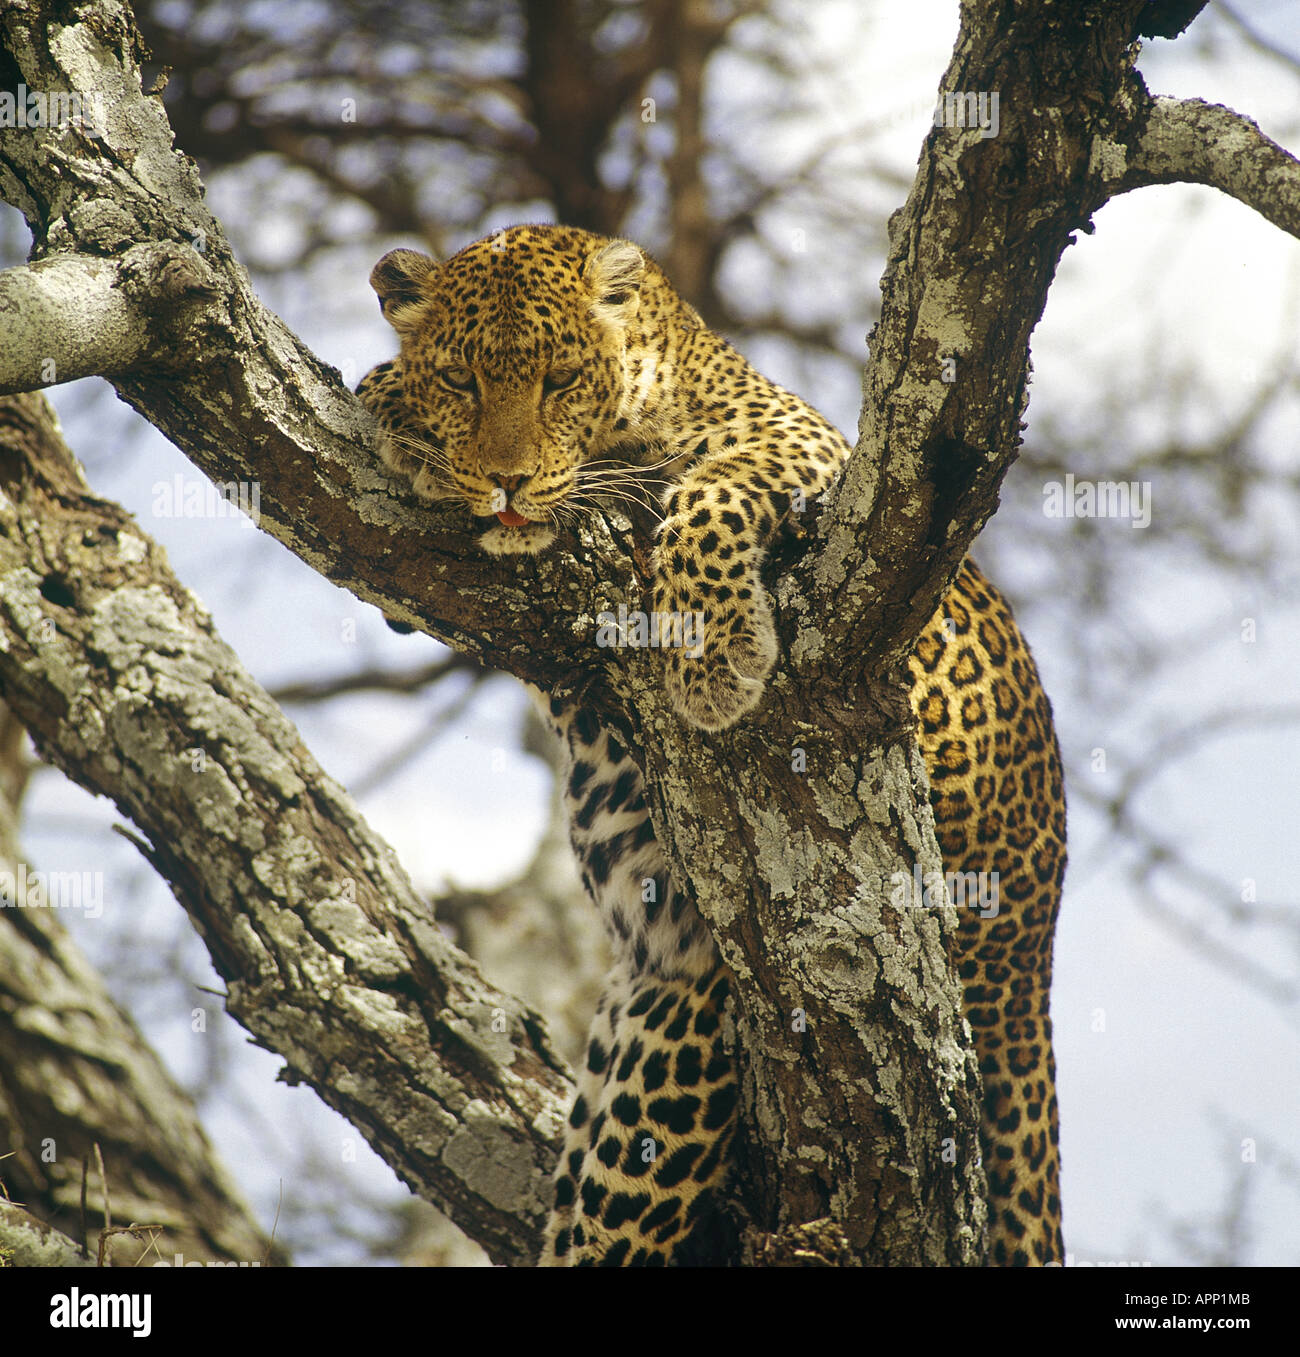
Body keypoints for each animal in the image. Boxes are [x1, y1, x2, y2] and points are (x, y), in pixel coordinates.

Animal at [355, 225, 1069, 1270]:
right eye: (461, 379)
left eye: (560, 378)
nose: (507, 482)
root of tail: (1027, 965)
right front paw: (395, 407)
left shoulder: (806, 451)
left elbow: (715, 487)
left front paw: (713, 653)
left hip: (701, 1001)